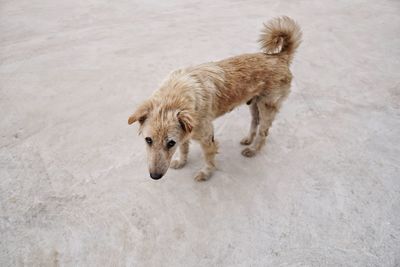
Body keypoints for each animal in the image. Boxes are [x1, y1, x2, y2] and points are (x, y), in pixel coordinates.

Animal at [127, 15, 300, 181]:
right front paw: (182, 162)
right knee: (254, 122)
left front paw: (206, 173)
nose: (155, 176)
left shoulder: (207, 138)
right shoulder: (185, 133)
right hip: (254, 104)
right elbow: (184, 148)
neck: (175, 96)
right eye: (148, 140)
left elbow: (208, 158)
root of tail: (279, 57)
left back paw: (253, 149)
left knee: (263, 132)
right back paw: (248, 140)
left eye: (170, 143)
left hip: (267, 107)